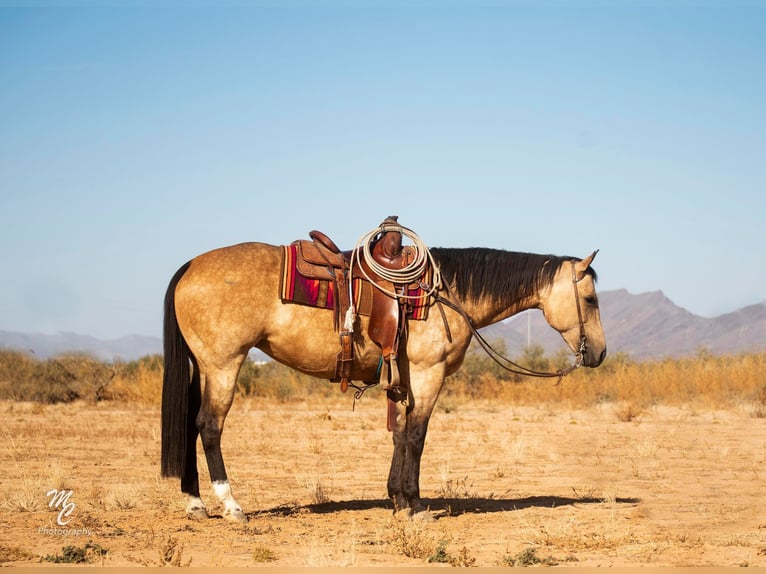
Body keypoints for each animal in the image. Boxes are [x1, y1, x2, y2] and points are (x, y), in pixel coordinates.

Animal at [160, 222, 608, 528]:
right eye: (590, 298)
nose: (600, 353)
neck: (444, 293)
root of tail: (190, 265)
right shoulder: (429, 375)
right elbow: (417, 436)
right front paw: (415, 505)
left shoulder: (405, 379)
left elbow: (399, 434)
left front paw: (396, 499)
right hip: (224, 364)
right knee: (209, 426)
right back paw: (230, 505)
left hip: (204, 367)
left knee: (189, 424)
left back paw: (195, 503)